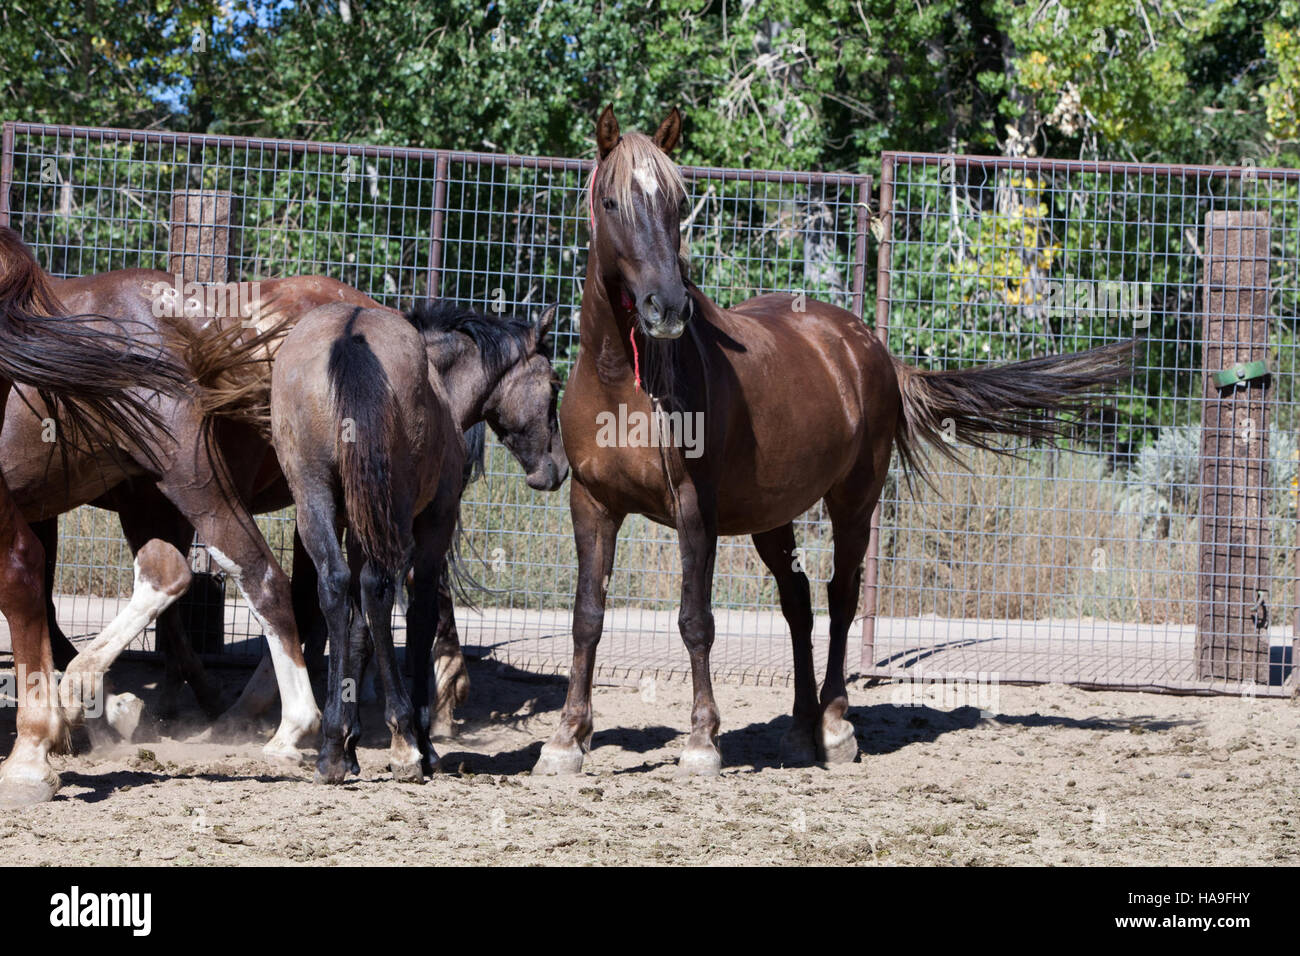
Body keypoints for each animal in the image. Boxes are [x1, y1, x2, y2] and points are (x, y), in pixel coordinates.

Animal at [274, 299, 567, 782]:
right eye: (554, 385)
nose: (557, 468)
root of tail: (349, 334)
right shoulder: (432, 528)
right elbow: (420, 616)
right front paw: (419, 742)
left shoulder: (357, 527)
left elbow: (357, 628)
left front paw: (348, 745)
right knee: (378, 592)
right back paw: (405, 743)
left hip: (314, 497)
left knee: (335, 587)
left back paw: (332, 748)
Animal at [533, 106, 1137, 776]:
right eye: (612, 202)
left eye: (678, 202)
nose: (667, 308)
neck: (623, 380)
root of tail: (870, 347)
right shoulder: (592, 506)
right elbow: (587, 618)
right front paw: (567, 739)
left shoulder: (694, 510)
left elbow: (695, 620)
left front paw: (702, 742)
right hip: (772, 513)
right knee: (798, 601)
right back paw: (801, 730)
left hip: (854, 500)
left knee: (841, 598)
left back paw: (835, 724)